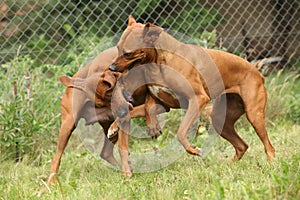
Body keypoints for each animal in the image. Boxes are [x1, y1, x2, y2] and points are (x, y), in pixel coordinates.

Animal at [109, 16, 276, 177]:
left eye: (127, 53)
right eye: (117, 48)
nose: (111, 68)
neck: (160, 61)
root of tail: (256, 71)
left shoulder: (197, 99)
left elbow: (181, 132)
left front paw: (193, 149)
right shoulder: (163, 105)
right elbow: (136, 111)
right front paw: (114, 127)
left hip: (254, 115)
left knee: (269, 147)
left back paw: (270, 165)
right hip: (220, 121)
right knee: (242, 146)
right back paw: (226, 166)